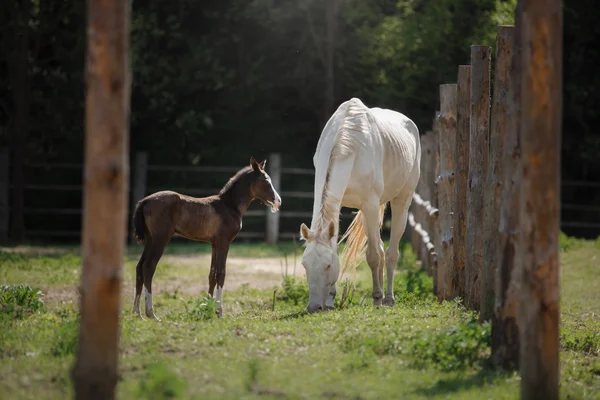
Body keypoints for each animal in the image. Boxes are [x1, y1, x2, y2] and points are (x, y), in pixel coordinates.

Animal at [131, 158, 282, 320]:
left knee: (139, 267)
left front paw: (208, 309)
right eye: (265, 181)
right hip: (161, 238)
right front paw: (219, 312)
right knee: (149, 266)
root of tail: (145, 200)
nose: (278, 201)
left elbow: (212, 275)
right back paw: (151, 314)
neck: (229, 205)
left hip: (150, 239)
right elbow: (221, 274)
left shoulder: (214, 244)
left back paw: (137, 313)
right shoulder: (224, 242)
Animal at [298, 97, 420, 312]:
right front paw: (331, 300)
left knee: (390, 253)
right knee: (381, 249)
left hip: (400, 203)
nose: (313, 307)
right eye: (305, 265)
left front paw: (377, 298)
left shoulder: (370, 204)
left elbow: (373, 256)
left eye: (328, 266)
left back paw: (388, 299)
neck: (347, 145)